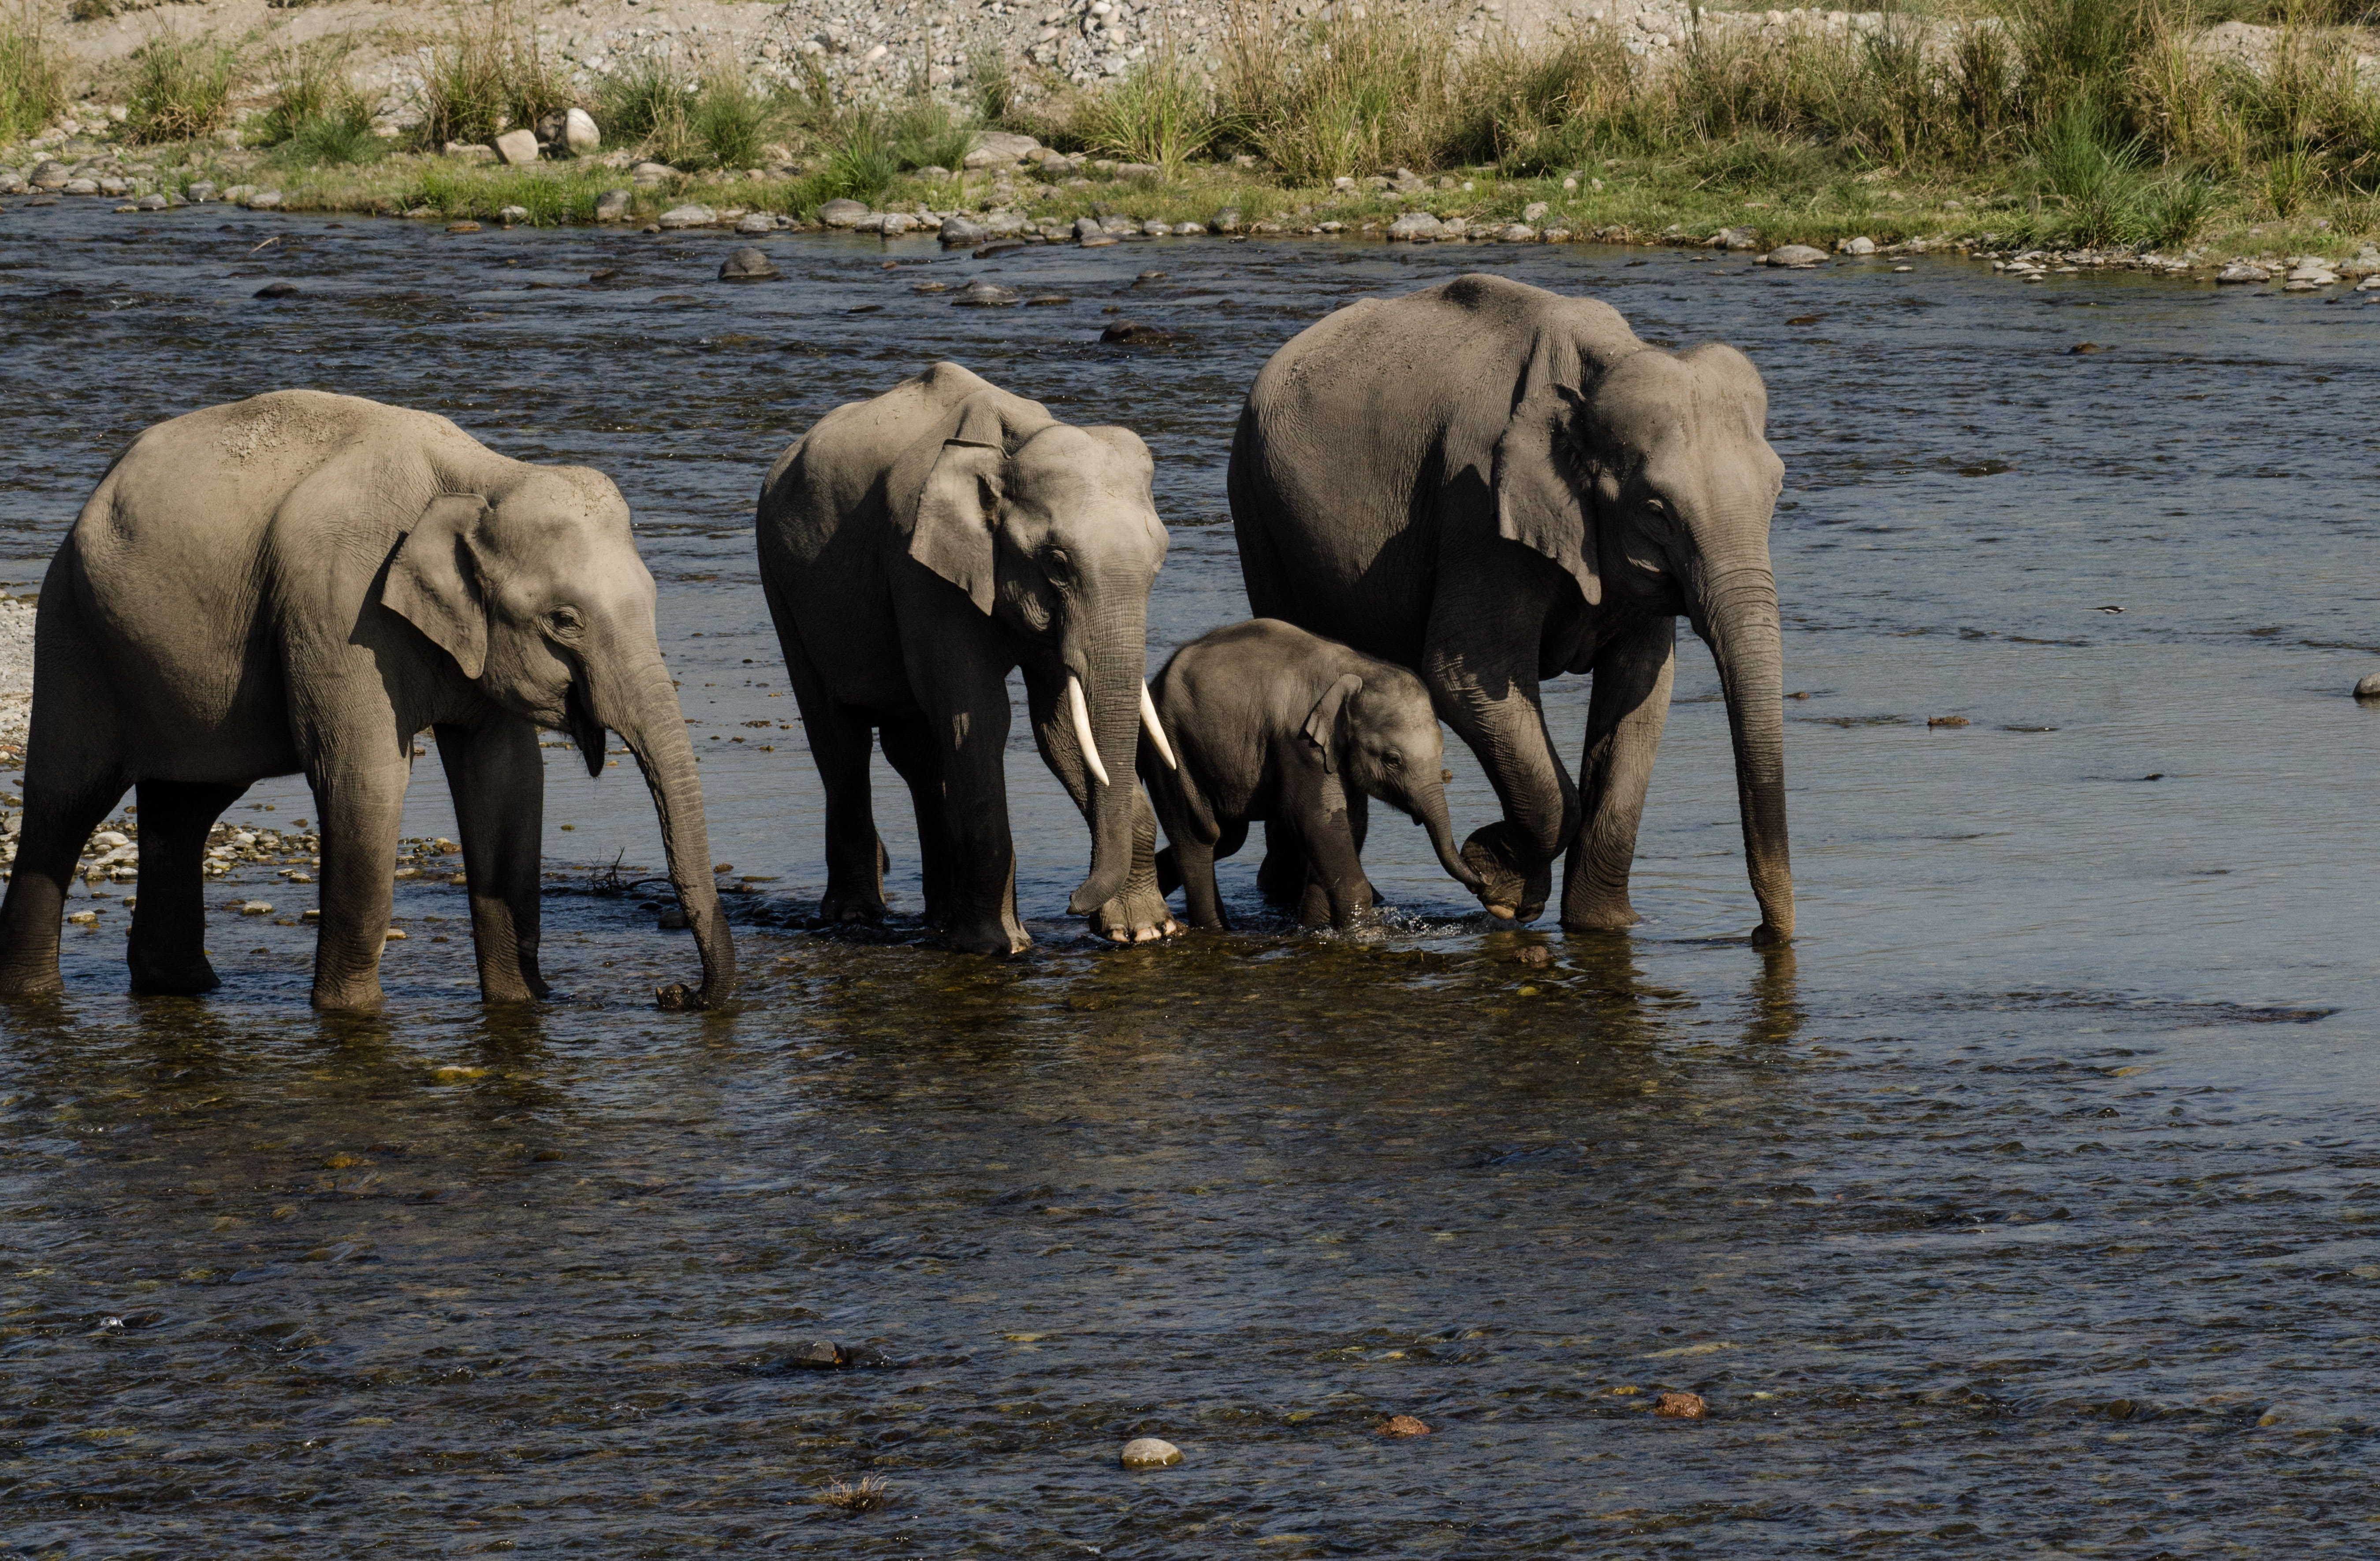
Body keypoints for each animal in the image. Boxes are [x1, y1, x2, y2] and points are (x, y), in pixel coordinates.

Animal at [0, 390, 737, 1014]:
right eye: (565, 621)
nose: (674, 993)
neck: (479, 477)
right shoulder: (337, 605)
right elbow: (367, 777)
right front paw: (352, 1014)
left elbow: (507, 780)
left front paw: (522, 1004)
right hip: (74, 629)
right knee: (67, 799)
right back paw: (35, 993)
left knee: (186, 805)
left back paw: (181, 986)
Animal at [756, 361, 1176, 951]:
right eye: (1057, 563)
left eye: (1160, 559)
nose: (1074, 902)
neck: (1010, 447)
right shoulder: (919, 561)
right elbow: (980, 715)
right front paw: (1000, 945)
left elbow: (1057, 728)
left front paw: (1144, 931)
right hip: (780, 582)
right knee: (838, 739)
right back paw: (854, 916)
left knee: (918, 750)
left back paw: (937, 919)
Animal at [1137, 614, 1485, 928]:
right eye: (1392, 760)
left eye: (1442, 752)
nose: (1480, 879)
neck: (1357, 668)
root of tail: (1155, 680)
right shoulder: (1299, 741)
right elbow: (1314, 820)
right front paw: (1360, 928)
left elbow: (1349, 823)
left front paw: (1314, 926)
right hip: (1170, 748)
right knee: (1199, 838)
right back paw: (1216, 930)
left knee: (1227, 838)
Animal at [1228, 275, 1790, 947]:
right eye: (1656, 512)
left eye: (1777, 488)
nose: (1760, 935)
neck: (1599, 367)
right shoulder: (1475, 508)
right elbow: (1461, 672)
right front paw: (1499, 886)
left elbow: (1640, 690)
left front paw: (1604, 927)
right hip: (1256, 508)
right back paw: (1286, 894)